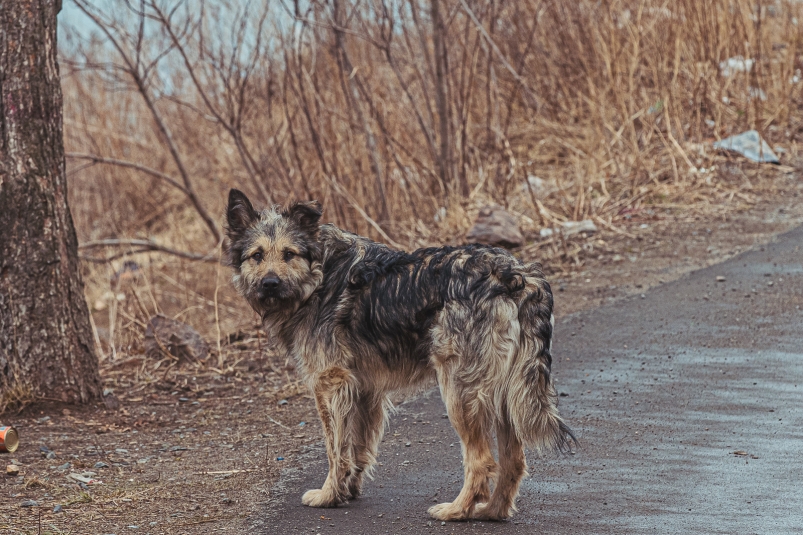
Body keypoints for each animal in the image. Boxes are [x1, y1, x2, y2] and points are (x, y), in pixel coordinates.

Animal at [223, 191, 576, 520]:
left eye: (289, 254)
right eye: (257, 256)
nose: (270, 283)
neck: (319, 276)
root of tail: (512, 273)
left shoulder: (330, 384)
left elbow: (335, 450)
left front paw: (328, 495)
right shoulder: (364, 390)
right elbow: (358, 448)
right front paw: (348, 491)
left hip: (460, 392)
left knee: (482, 462)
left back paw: (456, 511)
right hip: (504, 393)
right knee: (513, 461)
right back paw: (490, 511)